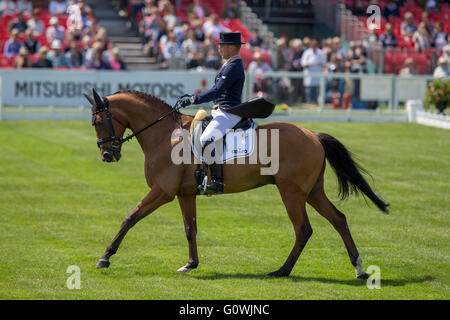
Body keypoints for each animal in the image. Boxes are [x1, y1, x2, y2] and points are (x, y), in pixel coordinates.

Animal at [86, 89, 388, 278]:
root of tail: (313, 135)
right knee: (339, 219)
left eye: (98, 121)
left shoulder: (162, 192)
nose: (107, 155)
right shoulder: (185, 194)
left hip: (291, 193)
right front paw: (191, 264)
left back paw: (282, 271)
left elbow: (130, 217)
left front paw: (105, 257)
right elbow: (190, 229)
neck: (165, 135)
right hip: (312, 191)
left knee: (303, 230)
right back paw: (359, 269)